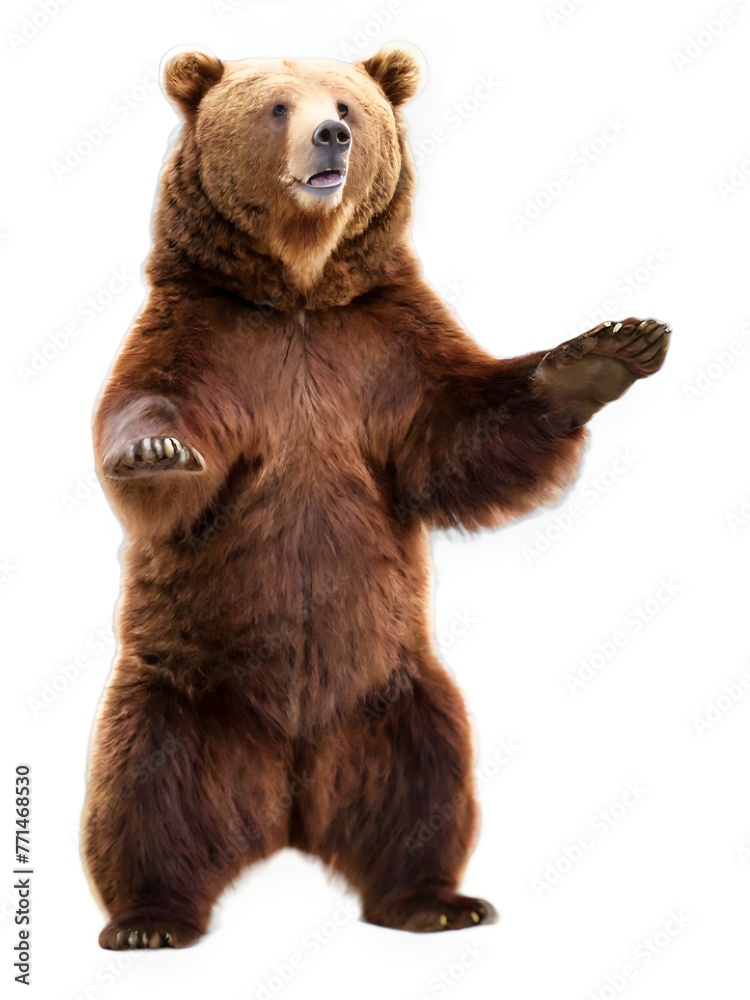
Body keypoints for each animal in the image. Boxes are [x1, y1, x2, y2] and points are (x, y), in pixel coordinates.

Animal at [80, 46, 670, 950]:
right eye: (278, 107)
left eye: (348, 106)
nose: (331, 135)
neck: (298, 290)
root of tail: (286, 807)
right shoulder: (205, 333)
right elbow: (154, 412)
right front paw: (155, 454)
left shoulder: (385, 344)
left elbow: (460, 436)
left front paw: (608, 350)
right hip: (180, 685)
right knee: (143, 783)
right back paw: (149, 917)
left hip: (393, 689)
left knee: (425, 780)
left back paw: (435, 900)